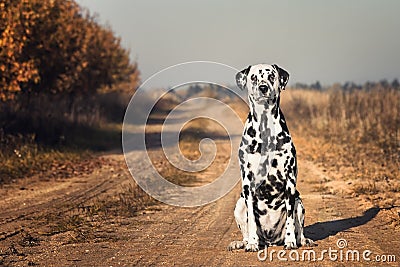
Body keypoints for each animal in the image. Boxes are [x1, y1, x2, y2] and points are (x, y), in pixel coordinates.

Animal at [228, 63, 316, 252]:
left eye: (272, 76)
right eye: (253, 77)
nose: (263, 88)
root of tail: (270, 241)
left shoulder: (290, 182)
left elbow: (290, 219)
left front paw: (290, 241)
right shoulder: (248, 183)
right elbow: (252, 222)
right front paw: (252, 243)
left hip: (299, 203)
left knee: (299, 228)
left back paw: (303, 240)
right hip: (239, 204)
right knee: (245, 229)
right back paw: (242, 242)